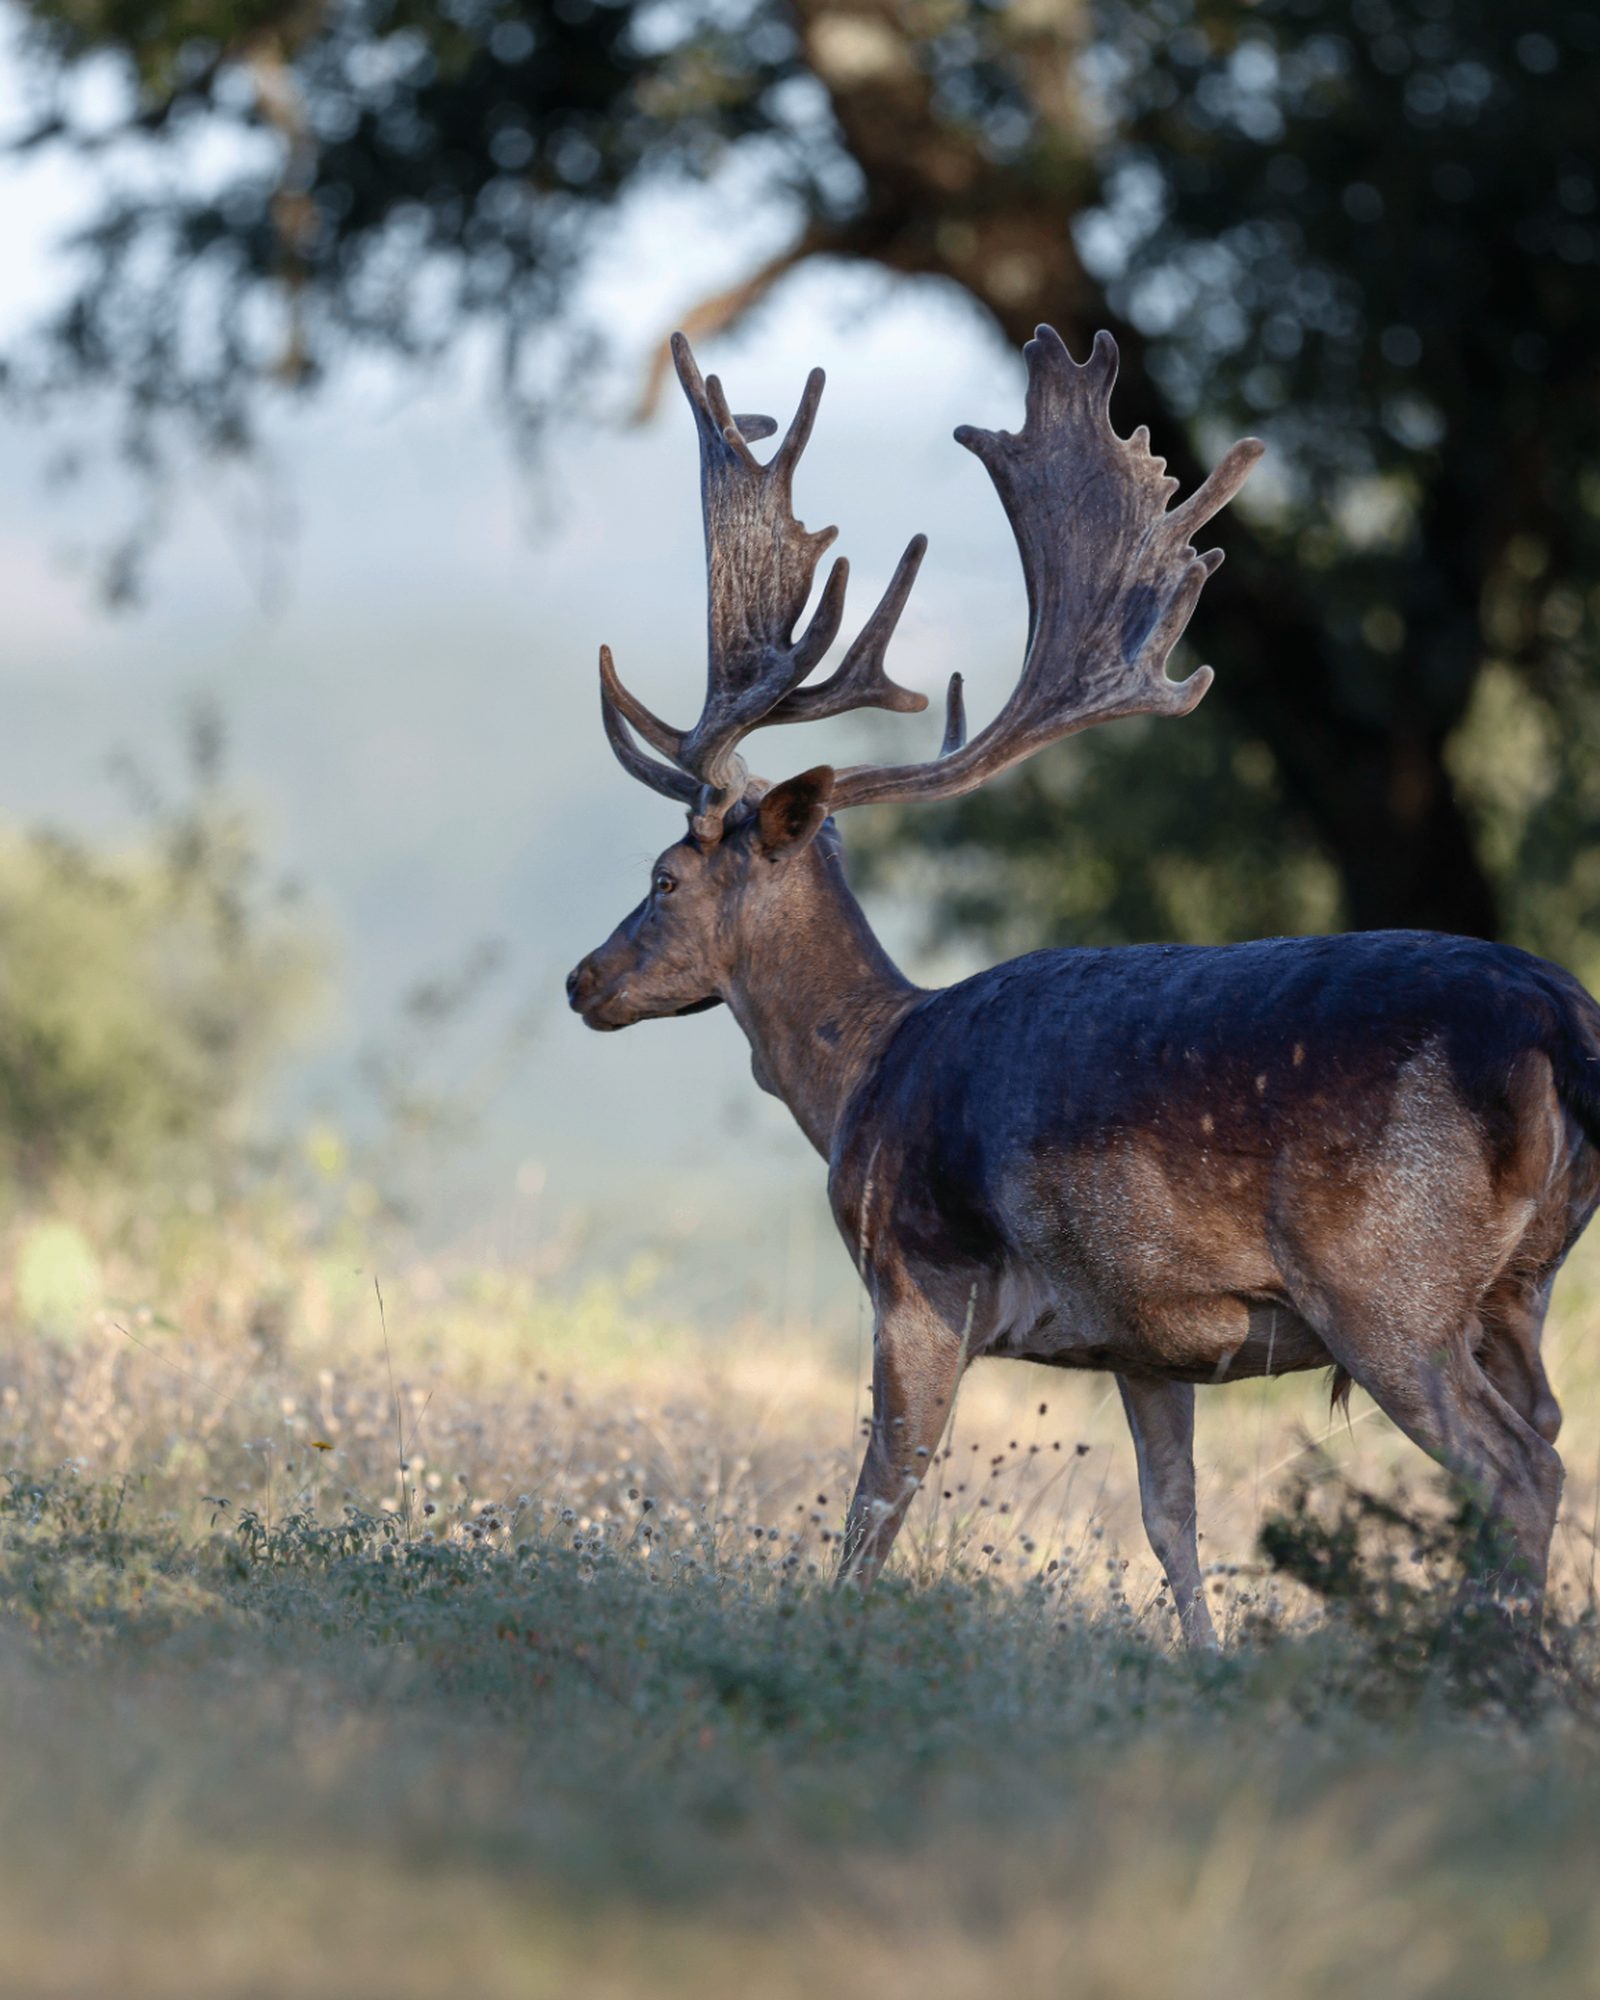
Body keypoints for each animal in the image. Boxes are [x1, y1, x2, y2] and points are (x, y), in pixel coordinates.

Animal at [566, 323, 1600, 1646]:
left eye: (663, 874)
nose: (584, 979)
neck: (862, 1075)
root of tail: (1564, 1021)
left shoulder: (918, 1276)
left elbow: (877, 1500)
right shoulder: (1148, 1337)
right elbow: (1172, 1519)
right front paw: (1201, 1660)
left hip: (1390, 1278)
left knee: (1516, 1468)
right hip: (1519, 1284)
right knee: (1550, 1436)